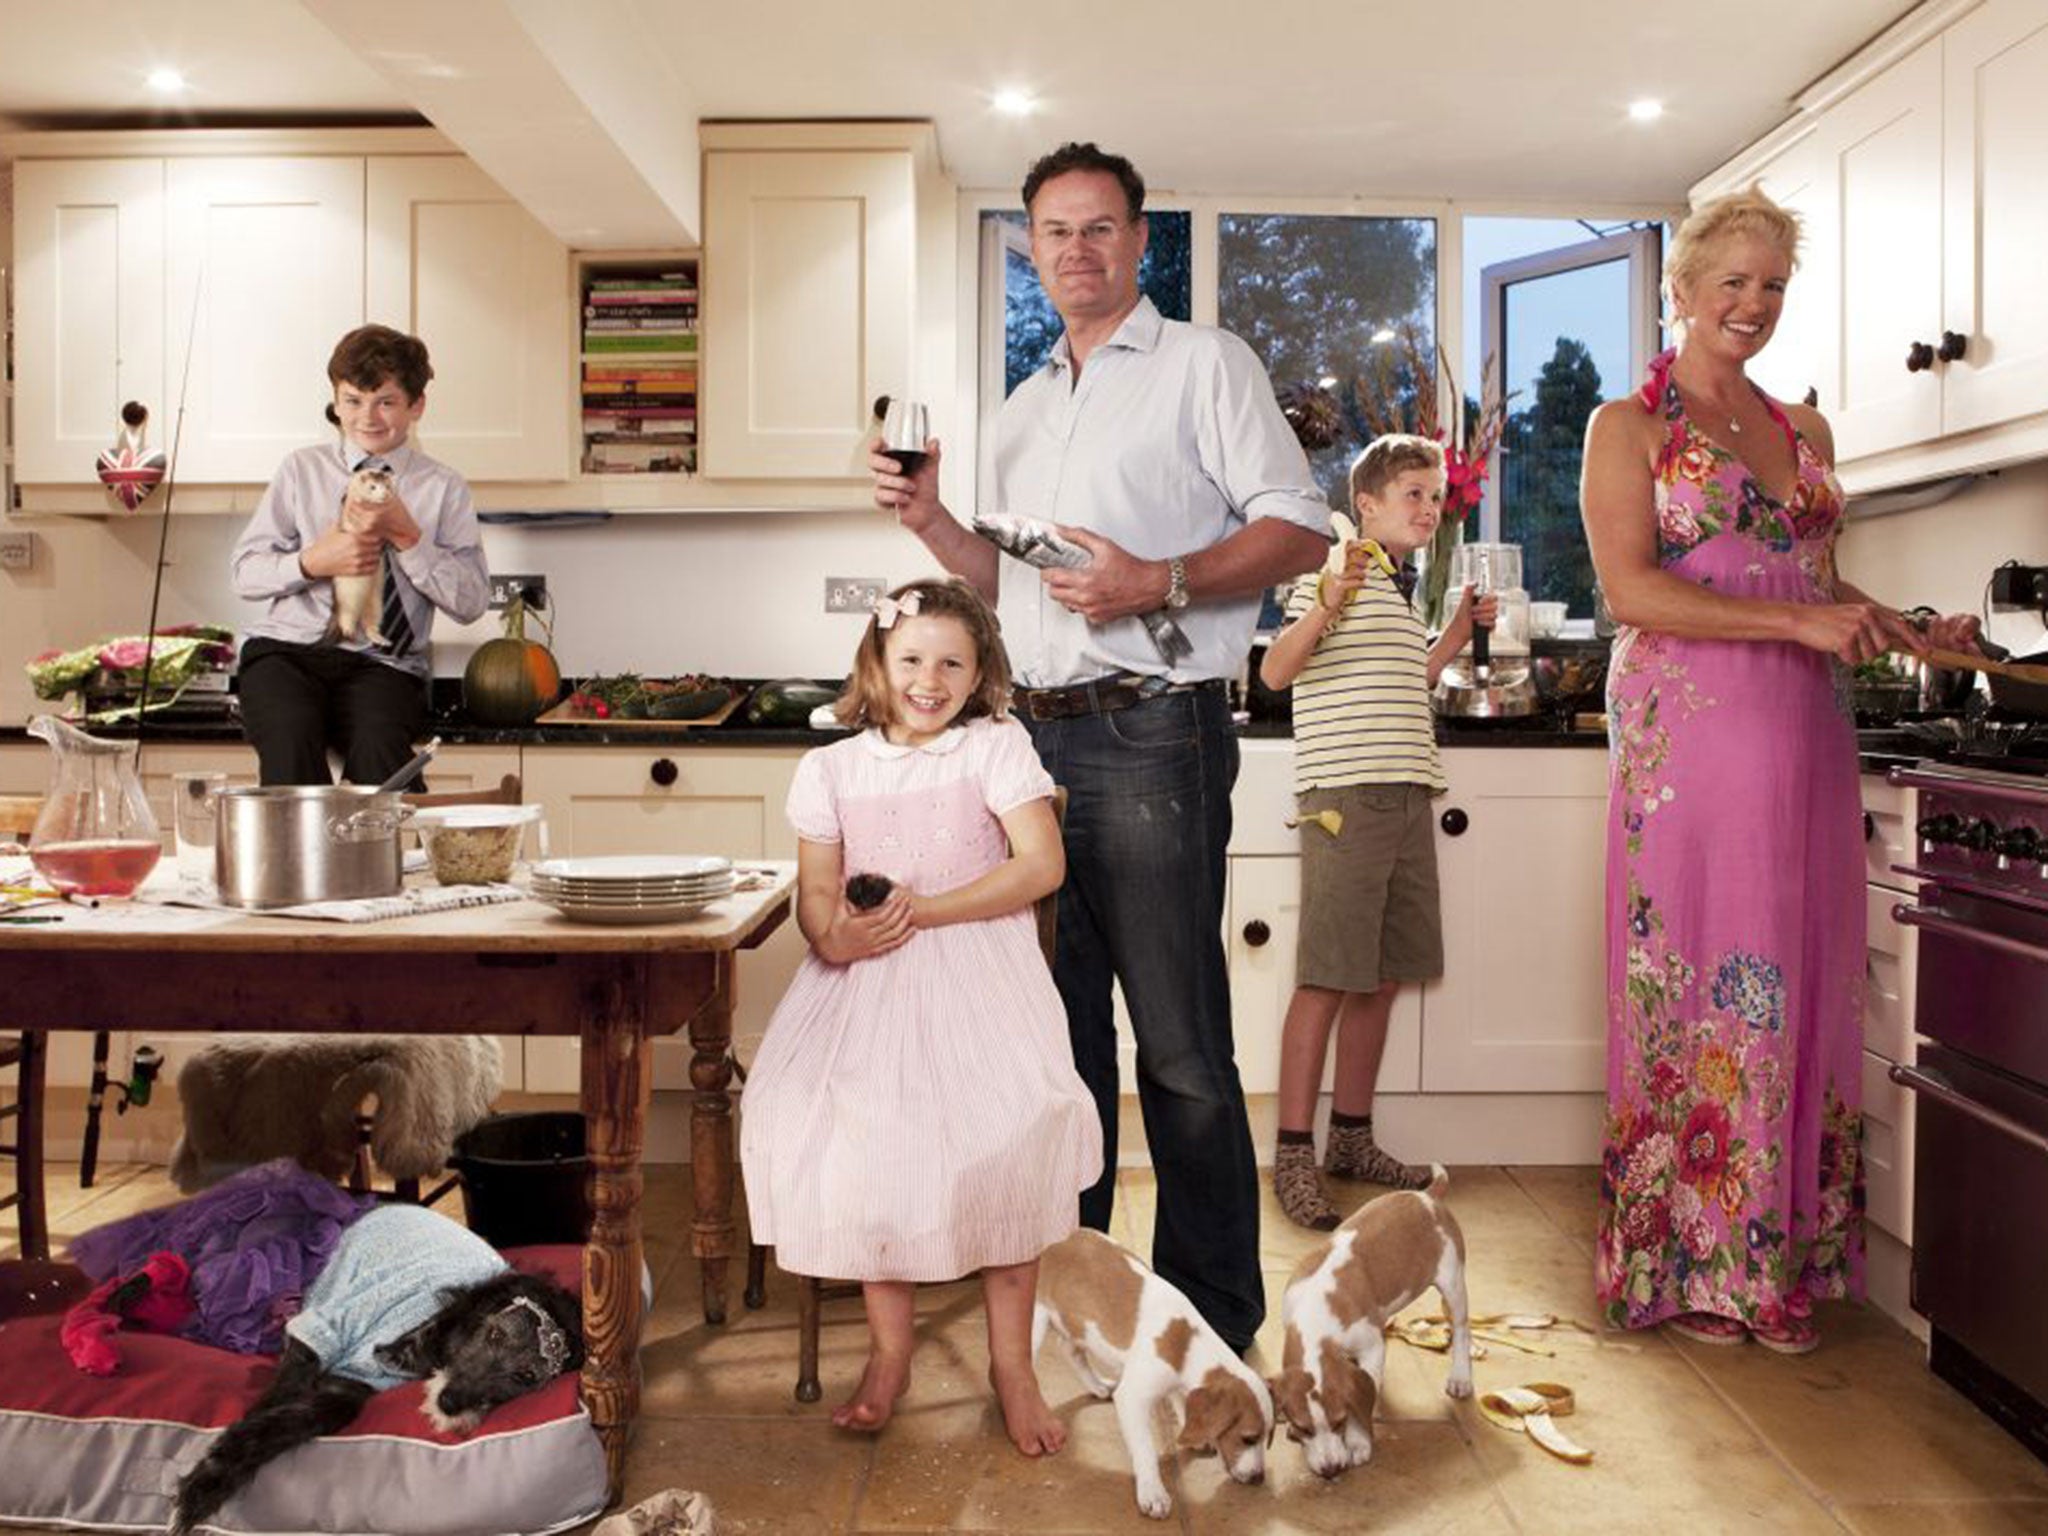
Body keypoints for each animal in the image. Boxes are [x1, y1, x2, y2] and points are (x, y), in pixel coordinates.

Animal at [172, 1277, 581, 1536]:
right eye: (495, 1334)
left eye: (526, 1376)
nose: (450, 1402)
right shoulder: (323, 1334)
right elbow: (282, 1395)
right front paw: (205, 1484)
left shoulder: (351, 1386)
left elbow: (320, 1412)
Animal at [327, 462, 395, 643]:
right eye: (372, 486)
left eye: (388, 486)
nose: (385, 495)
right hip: (347, 596)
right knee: (346, 616)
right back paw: (348, 631)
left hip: (376, 603)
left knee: (370, 623)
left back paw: (380, 639)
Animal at [1032, 1236, 1269, 1523]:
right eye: (1248, 1439)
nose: (1259, 1479)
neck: (1186, 1344)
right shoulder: (1132, 1399)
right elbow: (1145, 1450)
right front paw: (1153, 1493)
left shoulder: (1179, 1385)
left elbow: (1182, 1403)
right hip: (1036, 1321)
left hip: (1079, 1325)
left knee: (1068, 1349)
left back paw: (1097, 1385)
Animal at [1261, 1163, 1474, 1482]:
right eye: (1303, 1428)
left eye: (1340, 1422)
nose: (1331, 1471)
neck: (1316, 1320)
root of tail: (1427, 1196)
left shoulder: (1372, 1347)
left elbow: (1361, 1400)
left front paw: (1358, 1442)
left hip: (1452, 1283)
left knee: (1461, 1329)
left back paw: (1461, 1377)